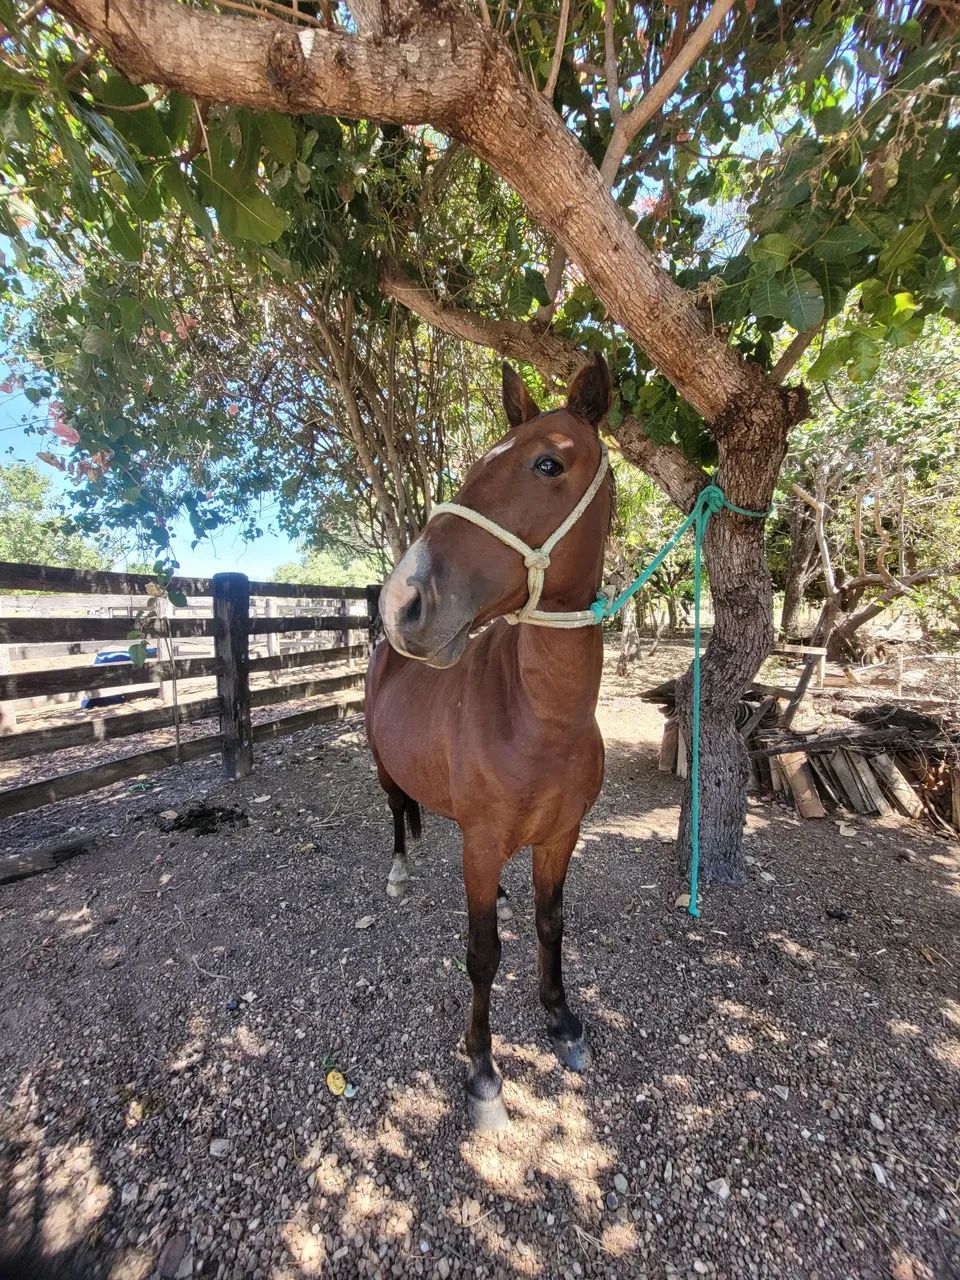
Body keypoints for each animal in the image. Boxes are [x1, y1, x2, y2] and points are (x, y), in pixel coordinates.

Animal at [364, 354, 612, 1130]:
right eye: (476, 464)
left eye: (547, 463)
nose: (403, 602)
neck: (538, 719)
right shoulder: (479, 841)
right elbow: (481, 955)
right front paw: (482, 1071)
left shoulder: (560, 836)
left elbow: (550, 925)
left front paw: (563, 1022)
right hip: (384, 769)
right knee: (396, 813)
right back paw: (398, 870)